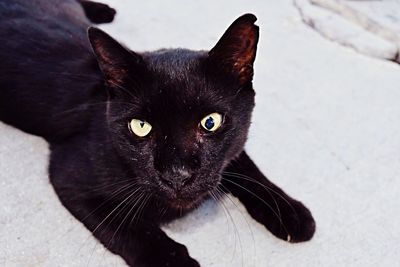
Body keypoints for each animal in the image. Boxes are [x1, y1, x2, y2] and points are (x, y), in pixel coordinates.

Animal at [0, 1, 316, 266]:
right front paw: (174, 262)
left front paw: (289, 211)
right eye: (140, 126)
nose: (177, 175)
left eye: (210, 122)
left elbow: (247, 168)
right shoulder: (70, 174)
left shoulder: (231, 149)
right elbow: (130, 228)